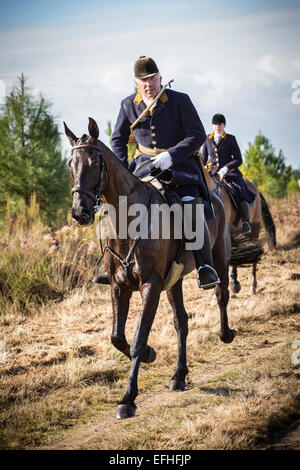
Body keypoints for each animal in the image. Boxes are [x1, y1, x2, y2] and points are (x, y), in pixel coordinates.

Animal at [65, 117, 260, 418]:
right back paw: (179, 375)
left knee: (222, 295)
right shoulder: (119, 286)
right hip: (174, 281)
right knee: (182, 321)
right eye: (69, 164)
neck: (129, 222)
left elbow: (137, 338)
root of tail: (217, 196)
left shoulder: (151, 285)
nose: (80, 212)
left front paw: (128, 399)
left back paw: (226, 334)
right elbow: (117, 337)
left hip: (219, 259)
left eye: (96, 162)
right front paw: (150, 354)